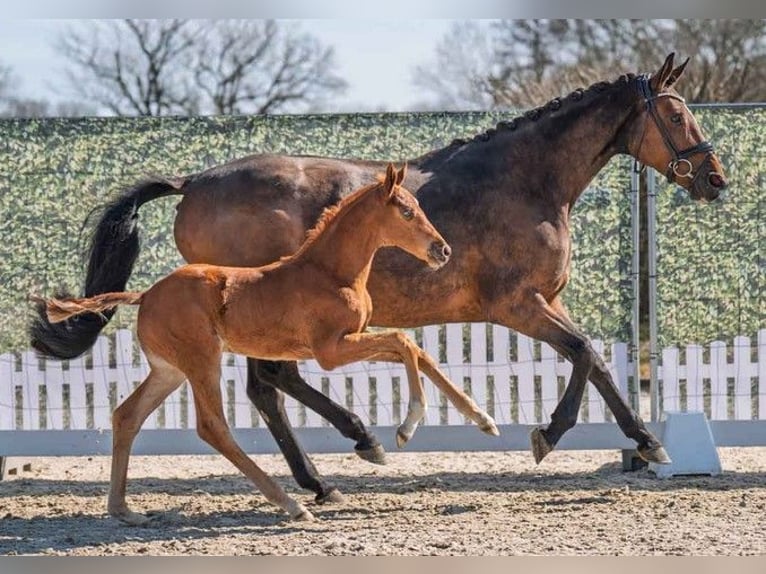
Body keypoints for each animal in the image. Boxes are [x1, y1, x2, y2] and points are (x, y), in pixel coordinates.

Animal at [35, 164, 499, 523]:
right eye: (406, 211)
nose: (442, 250)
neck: (330, 272)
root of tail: (145, 295)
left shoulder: (350, 341)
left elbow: (418, 352)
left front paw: (483, 420)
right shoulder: (331, 351)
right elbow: (405, 343)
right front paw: (404, 429)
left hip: (169, 371)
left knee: (127, 416)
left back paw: (123, 510)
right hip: (202, 362)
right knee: (213, 427)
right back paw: (293, 504)